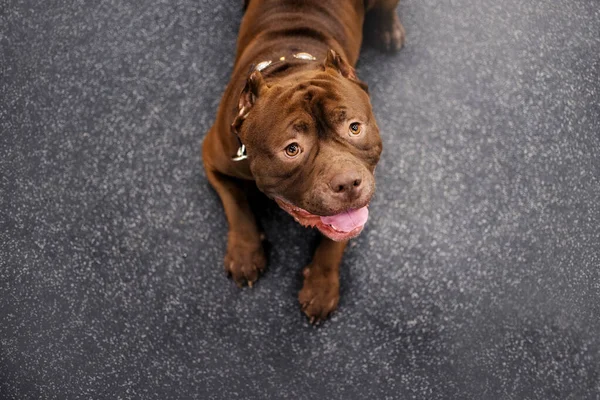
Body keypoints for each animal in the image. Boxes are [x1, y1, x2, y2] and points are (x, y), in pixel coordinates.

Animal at [202, 0, 404, 322]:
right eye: (292, 149)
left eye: (354, 128)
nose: (348, 183)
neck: (291, 71)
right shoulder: (214, 160)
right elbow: (236, 204)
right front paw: (245, 254)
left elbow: (336, 240)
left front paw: (321, 286)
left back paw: (388, 30)